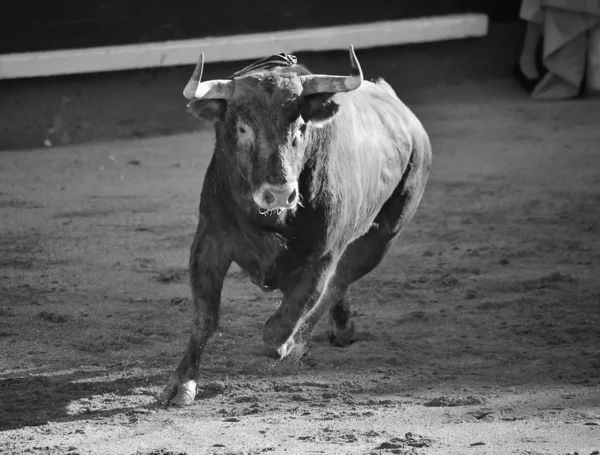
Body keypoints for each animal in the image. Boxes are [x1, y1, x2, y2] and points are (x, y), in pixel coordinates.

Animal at [159, 48, 432, 408]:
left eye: (301, 126)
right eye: (242, 128)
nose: (278, 192)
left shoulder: (323, 257)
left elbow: (285, 321)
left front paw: (286, 344)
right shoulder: (209, 243)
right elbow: (205, 317)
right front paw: (182, 384)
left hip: (385, 235)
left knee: (338, 282)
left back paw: (302, 341)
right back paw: (342, 328)